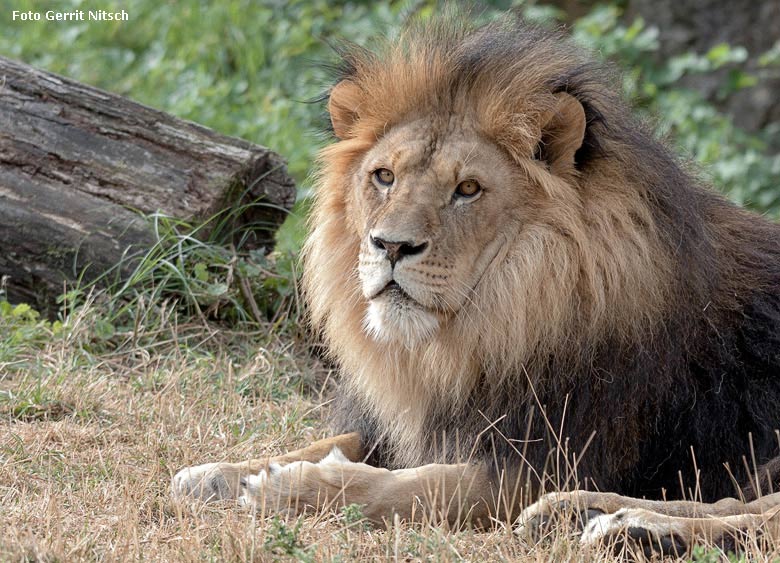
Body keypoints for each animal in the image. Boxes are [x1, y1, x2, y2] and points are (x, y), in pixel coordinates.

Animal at [172, 15, 780, 556]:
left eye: (467, 189)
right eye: (384, 177)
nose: (390, 246)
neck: (476, 337)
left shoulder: (533, 464)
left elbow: (415, 488)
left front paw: (286, 487)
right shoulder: (423, 419)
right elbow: (334, 441)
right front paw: (218, 473)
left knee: (757, 520)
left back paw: (635, 530)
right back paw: (581, 515)